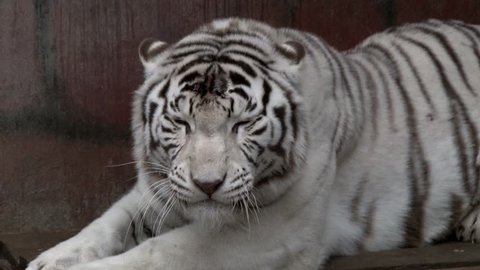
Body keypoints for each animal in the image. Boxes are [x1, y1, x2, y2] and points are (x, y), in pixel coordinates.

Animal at [27, 17, 480, 268]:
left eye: (243, 123)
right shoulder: (156, 191)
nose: (207, 185)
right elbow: (104, 225)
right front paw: (51, 260)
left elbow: (155, 253)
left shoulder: (271, 235)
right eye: (180, 122)